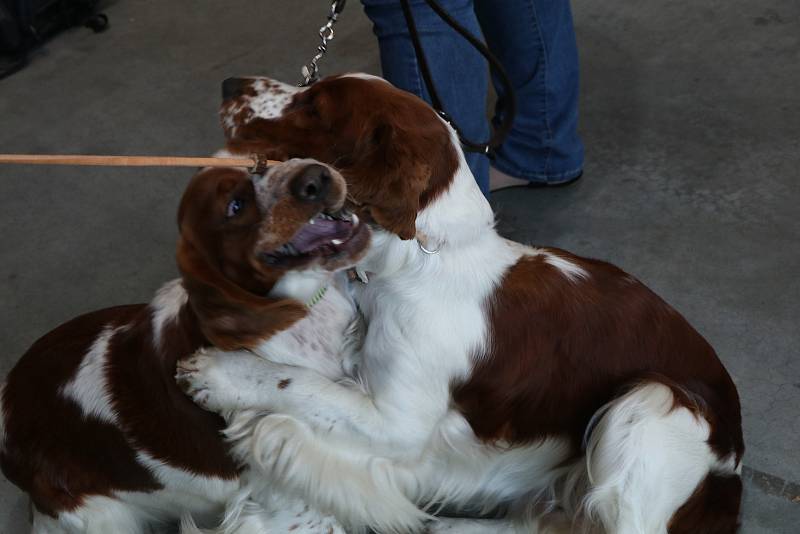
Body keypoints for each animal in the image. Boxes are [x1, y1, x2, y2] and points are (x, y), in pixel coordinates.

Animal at [0, 160, 368, 534]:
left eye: (261, 164)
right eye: (235, 206)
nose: (316, 176)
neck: (306, 317)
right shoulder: (292, 507)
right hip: (104, 516)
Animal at [178, 75, 748, 534]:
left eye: (314, 107)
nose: (230, 84)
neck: (416, 262)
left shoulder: (398, 421)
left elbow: (294, 385)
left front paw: (220, 373)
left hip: (649, 402)